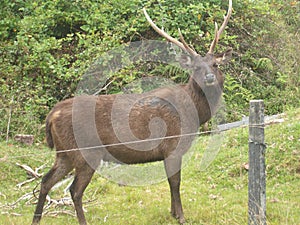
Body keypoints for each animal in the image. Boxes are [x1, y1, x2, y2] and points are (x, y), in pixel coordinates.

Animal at [31, 0, 233, 224]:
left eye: (215, 64)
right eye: (196, 67)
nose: (209, 78)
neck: (194, 114)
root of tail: (52, 116)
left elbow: (170, 182)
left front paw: (172, 212)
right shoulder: (172, 146)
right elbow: (175, 182)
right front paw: (180, 216)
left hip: (64, 153)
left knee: (46, 181)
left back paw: (36, 219)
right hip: (85, 153)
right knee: (74, 190)